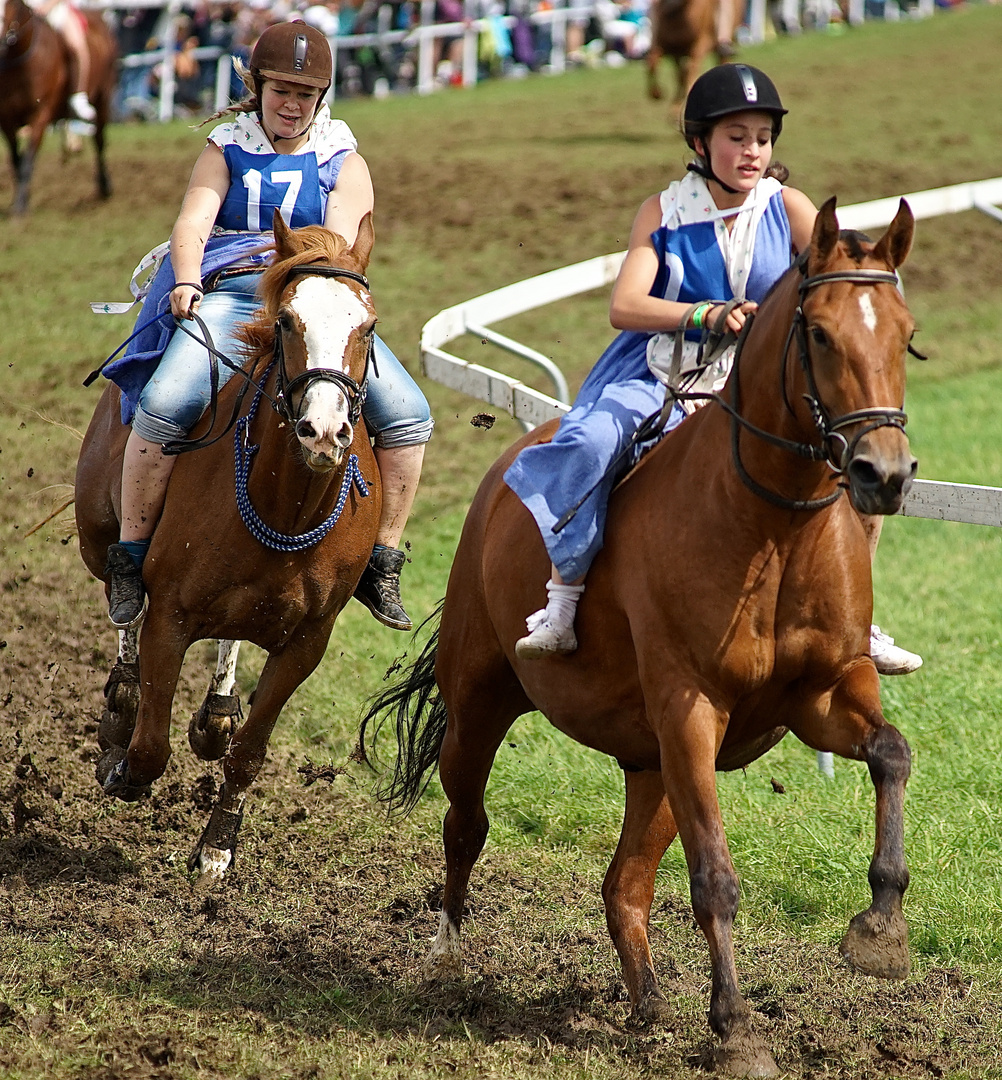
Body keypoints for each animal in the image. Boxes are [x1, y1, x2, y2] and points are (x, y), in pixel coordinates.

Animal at [1, 0, 115, 216]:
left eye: (11, 3)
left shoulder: (41, 114)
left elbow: (28, 158)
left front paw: (20, 207)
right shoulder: (6, 119)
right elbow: (16, 159)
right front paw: (20, 199)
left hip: (103, 98)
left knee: (100, 141)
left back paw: (105, 188)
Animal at [73, 212, 380, 885]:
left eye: (368, 326)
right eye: (287, 321)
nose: (324, 432)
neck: (283, 507)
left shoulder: (307, 643)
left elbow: (249, 752)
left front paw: (217, 846)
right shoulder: (170, 617)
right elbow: (149, 747)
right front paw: (120, 763)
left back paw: (215, 708)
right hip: (99, 536)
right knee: (121, 602)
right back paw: (121, 705)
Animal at [364, 198, 919, 1075]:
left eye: (905, 333)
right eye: (822, 334)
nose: (884, 473)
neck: (769, 529)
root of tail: (499, 480)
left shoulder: (822, 692)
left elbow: (893, 753)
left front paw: (878, 934)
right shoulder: (691, 710)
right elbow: (715, 878)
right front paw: (738, 1029)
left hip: (651, 765)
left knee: (623, 883)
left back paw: (647, 1001)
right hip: (482, 700)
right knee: (466, 823)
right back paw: (447, 951)